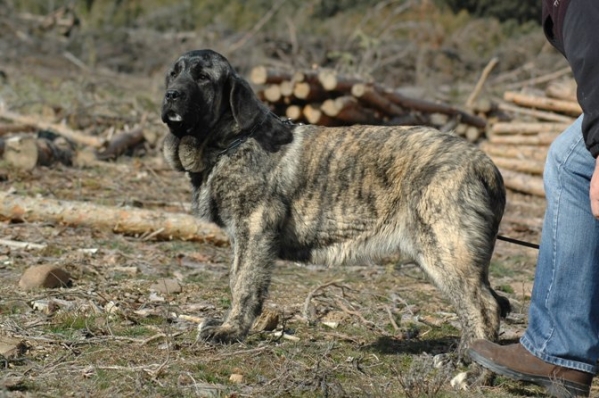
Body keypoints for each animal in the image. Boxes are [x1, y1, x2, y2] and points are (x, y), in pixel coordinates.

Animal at [161, 49, 510, 358]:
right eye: (174, 72)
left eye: (203, 77)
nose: (171, 95)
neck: (232, 141)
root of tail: (486, 165)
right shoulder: (242, 237)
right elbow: (237, 279)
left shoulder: (255, 229)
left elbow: (243, 284)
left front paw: (230, 331)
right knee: (492, 302)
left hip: (445, 248)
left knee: (483, 305)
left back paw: (471, 367)